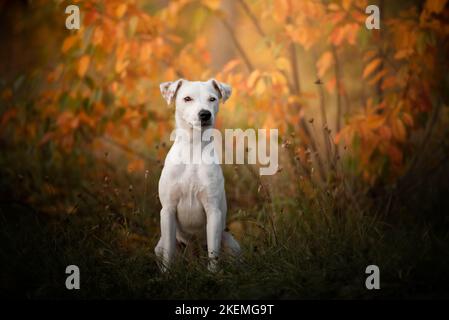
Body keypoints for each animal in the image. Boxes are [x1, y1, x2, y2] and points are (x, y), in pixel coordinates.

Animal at [155, 79, 240, 272]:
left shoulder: (213, 212)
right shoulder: (168, 211)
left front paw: (213, 274)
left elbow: (213, 253)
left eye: (212, 99)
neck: (193, 149)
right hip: (160, 245)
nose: (205, 114)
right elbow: (169, 254)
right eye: (187, 98)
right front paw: (166, 275)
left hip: (231, 243)